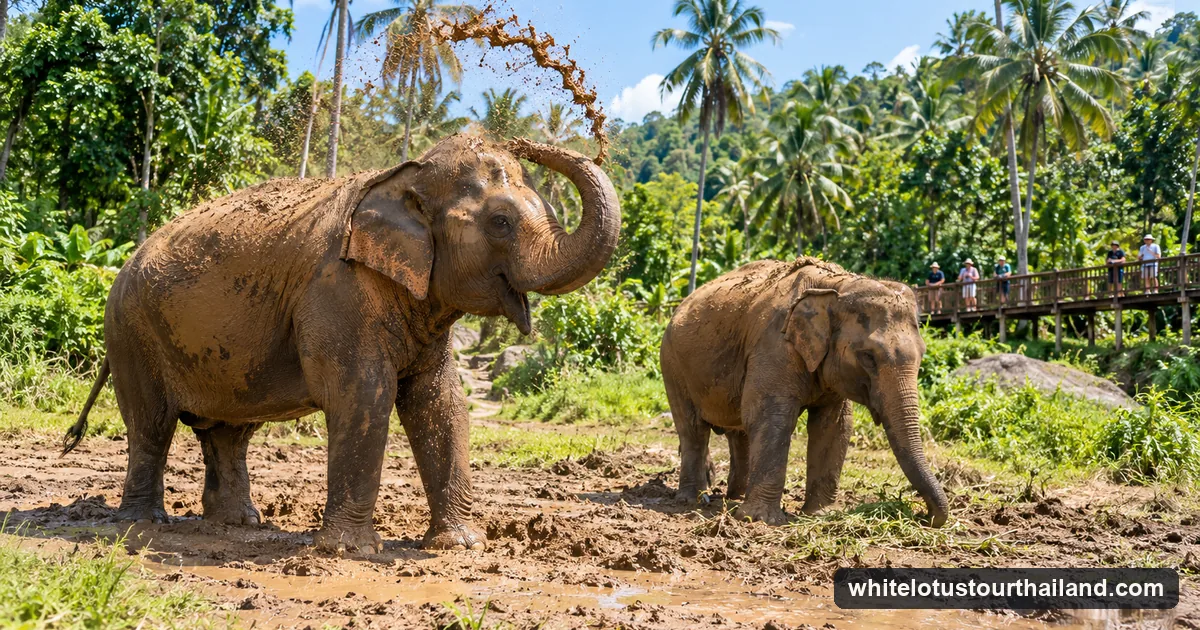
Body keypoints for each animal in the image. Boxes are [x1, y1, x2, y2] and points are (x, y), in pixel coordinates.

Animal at [61, 134, 620, 553]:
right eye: (500, 222)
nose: (519, 140)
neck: (402, 177)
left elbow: (440, 402)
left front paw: (461, 545)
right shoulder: (337, 292)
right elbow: (363, 395)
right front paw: (349, 551)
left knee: (228, 431)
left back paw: (239, 524)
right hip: (130, 331)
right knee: (152, 425)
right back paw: (144, 524)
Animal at [659, 257, 948, 527]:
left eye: (922, 354)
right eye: (868, 357)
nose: (923, 516)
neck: (836, 285)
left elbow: (834, 426)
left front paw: (820, 514)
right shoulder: (775, 344)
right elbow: (770, 417)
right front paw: (760, 520)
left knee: (737, 432)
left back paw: (734, 497)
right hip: (672, 365)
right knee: (693, 429)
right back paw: (693, 499)